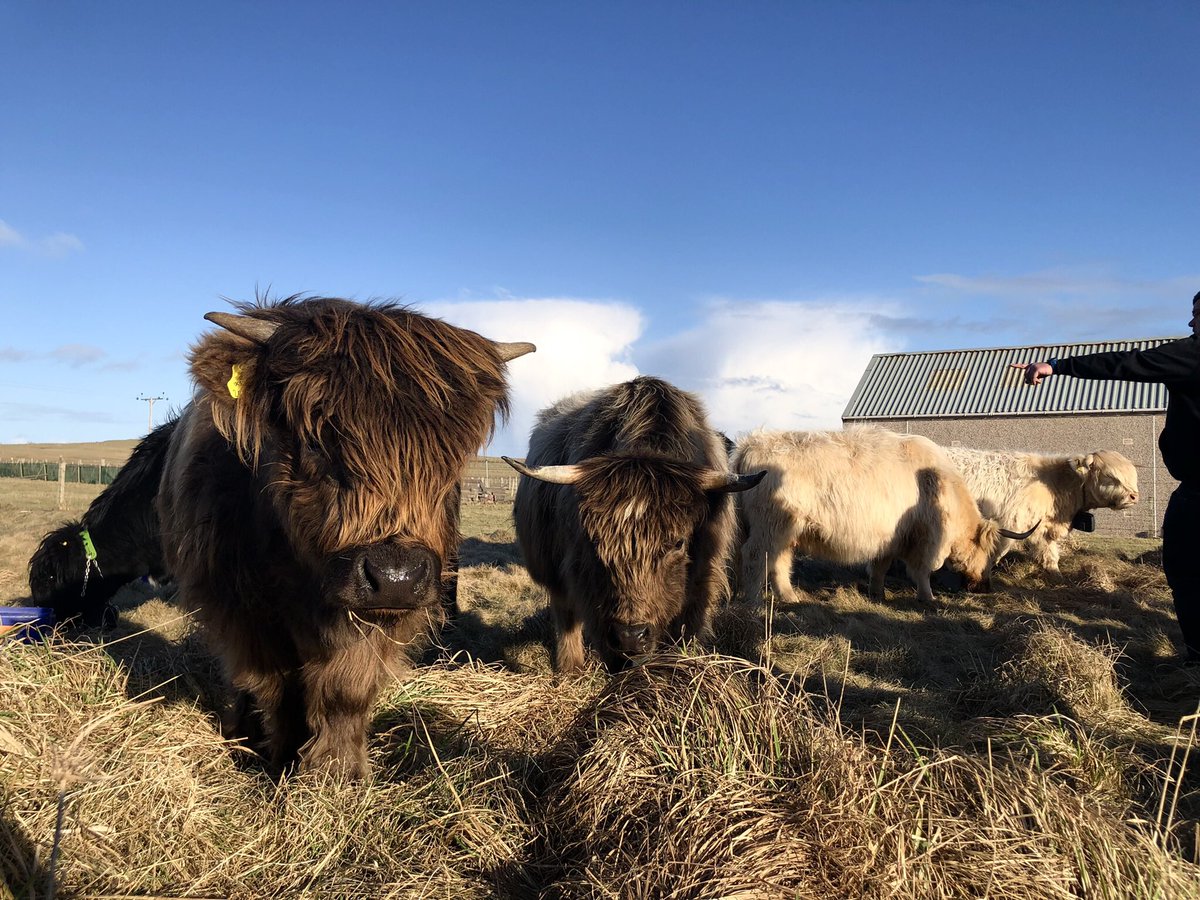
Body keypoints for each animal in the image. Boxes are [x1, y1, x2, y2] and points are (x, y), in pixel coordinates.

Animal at [159, 296, 535, 777]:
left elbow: (346, 691)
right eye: (315, 441)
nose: (394, 577)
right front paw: (281, 762)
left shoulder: (381, 619)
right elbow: (276, 688)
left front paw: (340, 771)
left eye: (451, 458)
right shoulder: (242, 610)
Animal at [501, 374, 763, 676]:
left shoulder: (701, 582)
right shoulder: (588, 588)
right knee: (566, 617)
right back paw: (571, 668)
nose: (630, 635)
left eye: (678, 543)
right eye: (593, 542)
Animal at [729, 427, 1041, 607]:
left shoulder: (891, 538)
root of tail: (750, 445)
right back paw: (754, 603)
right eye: (990, 554)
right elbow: (922, 570)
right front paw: (928, 598)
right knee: (756, 556)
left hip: (781, 530)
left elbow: (880, 566)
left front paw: (877, 593)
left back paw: (788, 597)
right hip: (771, 526)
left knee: (777, 561)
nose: (986, 588)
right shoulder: (924, 539)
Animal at [945, 448, 1132, 580]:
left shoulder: (1042, 528)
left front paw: (1057, 576)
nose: (1134, 496)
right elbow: (996, 553)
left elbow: (1049, 554)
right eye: (1109, 476)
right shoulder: (1009, 524)